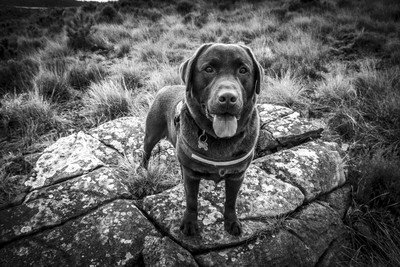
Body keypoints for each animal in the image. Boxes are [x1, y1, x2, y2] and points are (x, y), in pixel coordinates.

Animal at [142, 43, 264, 238]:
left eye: (243, 70)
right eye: (209, 69)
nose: (228, 98)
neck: (219, 138)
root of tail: (165, 87)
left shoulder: (237, 175)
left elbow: (231, 201)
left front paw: (232, 222)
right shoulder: (191, 174)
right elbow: (192, 200)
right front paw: (190, 223)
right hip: (151, 134)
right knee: (145, 152)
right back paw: (142, 170)